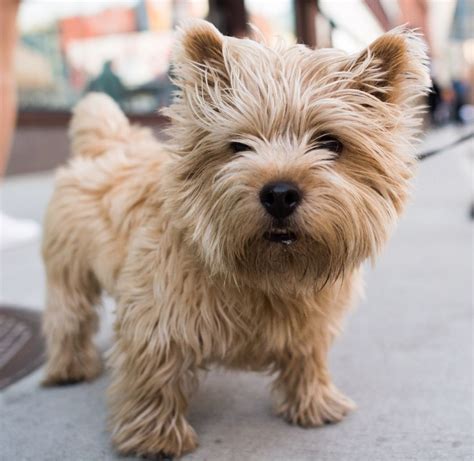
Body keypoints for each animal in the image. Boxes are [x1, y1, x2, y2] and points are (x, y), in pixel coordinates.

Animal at [42, 18, 432, 456]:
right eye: (238, 146)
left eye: (331, 143)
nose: (279, 193)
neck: (268, 274)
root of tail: (108, 143)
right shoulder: (156, 317)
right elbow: (154, 377)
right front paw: (156, 436)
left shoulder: (310, 323)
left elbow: (307, 358)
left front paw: (314, 402)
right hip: (68, 270)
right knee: (68, 316)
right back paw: (69, 367)